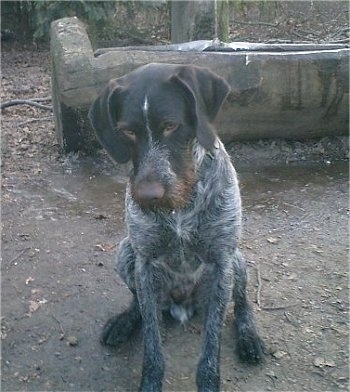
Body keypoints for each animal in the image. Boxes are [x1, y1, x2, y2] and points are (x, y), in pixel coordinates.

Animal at [89, 62, 264, 390]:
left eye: (171, 126)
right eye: (127, 131)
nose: (148, 196)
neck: (179, 207)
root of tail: (183, 304)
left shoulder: (221, 263)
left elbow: (211, 347)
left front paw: (209, 381)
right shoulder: (145, 262)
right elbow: (152, 343)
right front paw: (150, 380)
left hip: (237, 261)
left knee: (242, 302)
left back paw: (249, 336)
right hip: (125, 253)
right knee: (141, 304)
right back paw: (125, 321)